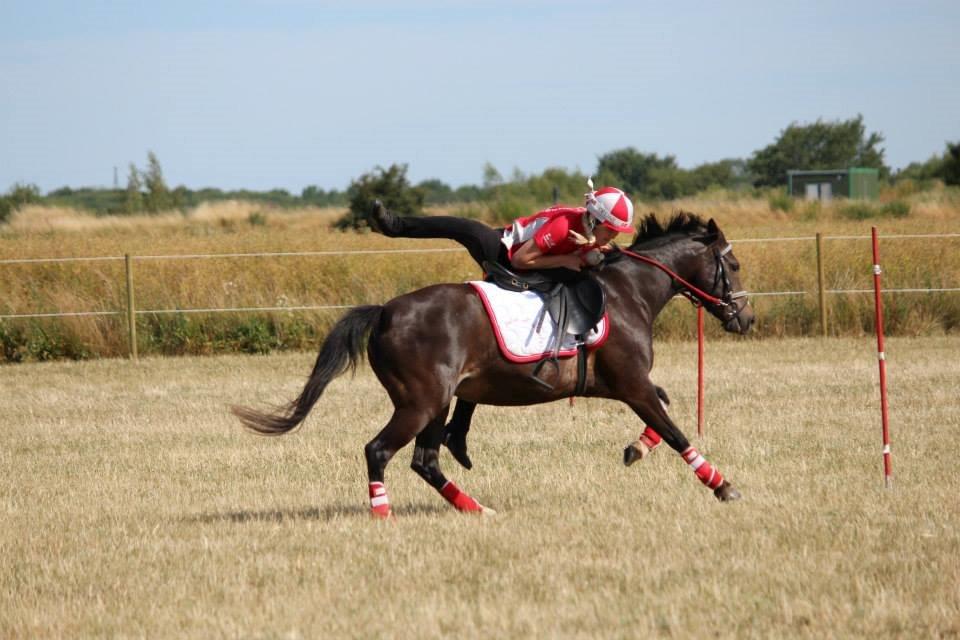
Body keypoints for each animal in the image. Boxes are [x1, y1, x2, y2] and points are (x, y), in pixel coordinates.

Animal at [232, 212, 755, 517]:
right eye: (734, 265)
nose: (746, 318)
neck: (629, 292)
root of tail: (383, 312)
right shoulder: (631, 383)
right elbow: (675, 430)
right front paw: (722, 486)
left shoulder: (621, 385)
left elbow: (663, 412)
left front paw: (636, 449)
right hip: (421, 403)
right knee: (379, 450)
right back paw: (384, 515)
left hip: (438, 402)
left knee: (425, 459)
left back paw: (474, 507)